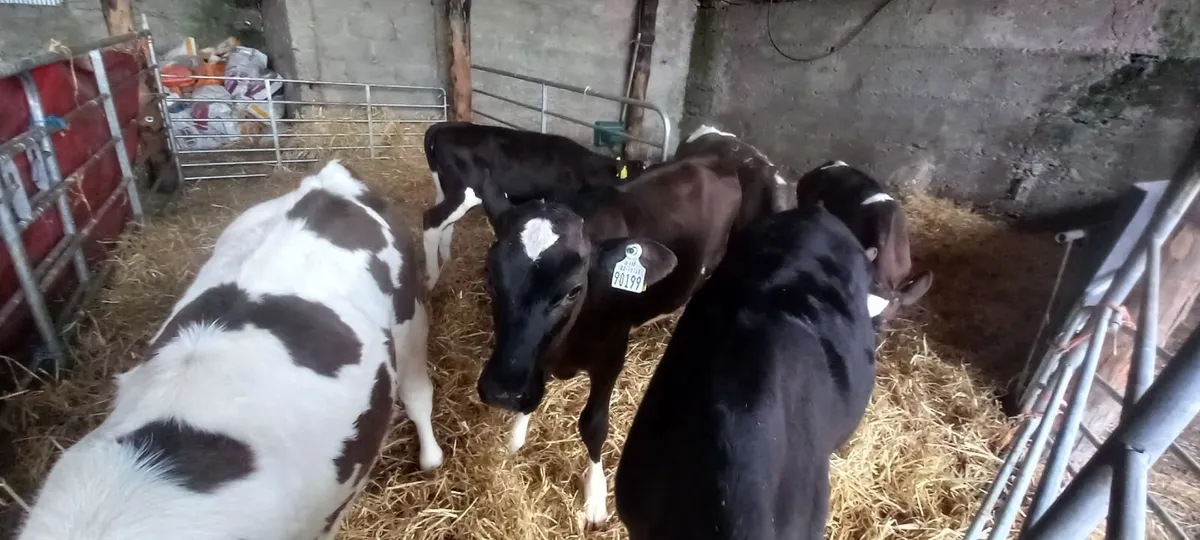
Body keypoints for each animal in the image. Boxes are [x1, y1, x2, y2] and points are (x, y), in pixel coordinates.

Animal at [421, 121, 646, 290]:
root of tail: (447, 126)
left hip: (448, 192)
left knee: (445, 225)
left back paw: (447, 262)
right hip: (464, 193)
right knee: (432, 220)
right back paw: (432, 279)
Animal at [474, 155, 743, 527]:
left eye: (573, 289)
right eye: (490, 275)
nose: (501, 390)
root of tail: (716, 159)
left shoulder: (611, 356)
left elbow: (593, 425)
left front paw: (595, 497)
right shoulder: (536, 359)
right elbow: (531, 399)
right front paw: (514, 440)